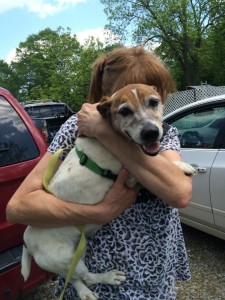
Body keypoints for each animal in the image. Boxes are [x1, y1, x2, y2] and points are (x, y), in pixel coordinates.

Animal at [21, 84, 197, 300]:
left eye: (153, 102)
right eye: (124, 111)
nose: (151, 133)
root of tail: (27, 242)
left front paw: (182, 165)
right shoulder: (130, 177)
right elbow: (153, 164)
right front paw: (181, 166)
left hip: (78, 249)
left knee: (74, 277)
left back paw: (86, 291)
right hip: (65, 257)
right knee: (85, 276)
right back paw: (105, 279)